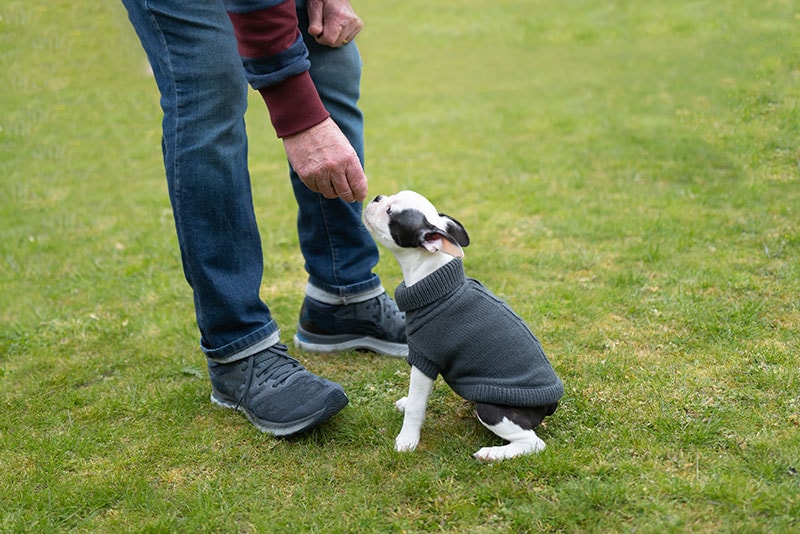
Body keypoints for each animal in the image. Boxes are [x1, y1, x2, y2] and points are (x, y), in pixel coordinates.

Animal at [362, 192, 564, 460]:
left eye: (390, 212)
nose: (377, 197)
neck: (430, 274)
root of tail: (551, 403)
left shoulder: (425, 359)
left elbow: (416, 404)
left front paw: (407, 439)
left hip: (493, 409)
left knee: (533, 443)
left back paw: (492, 454)